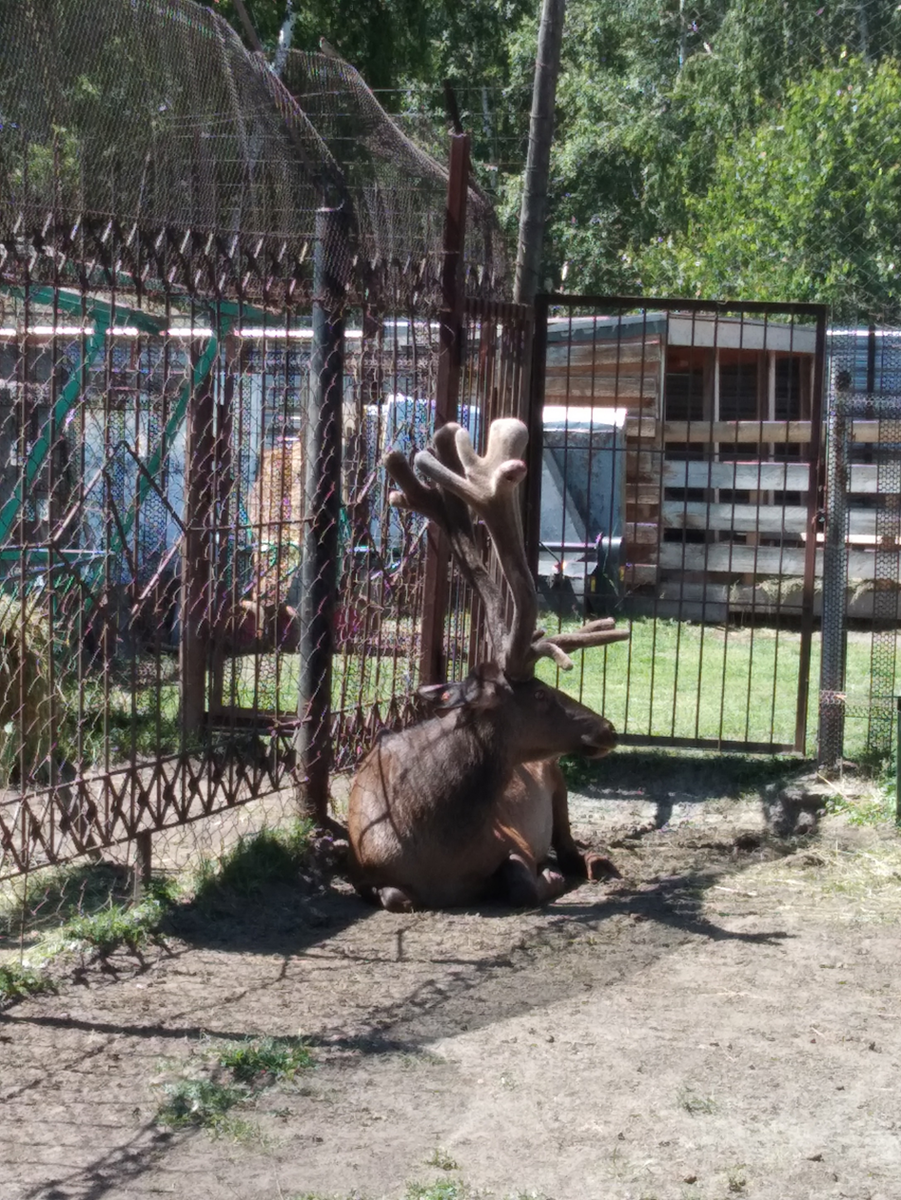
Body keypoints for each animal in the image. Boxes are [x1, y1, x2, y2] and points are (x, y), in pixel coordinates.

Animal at [345, 415, 628, 907]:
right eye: (541, 695)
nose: (608, 727)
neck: (434, 851)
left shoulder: (511, 838)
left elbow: (519, 878)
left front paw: (548, 878)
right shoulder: (366, 869)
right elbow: (395, 895)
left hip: (556, 777)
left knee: (570, 844)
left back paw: (592, 863)